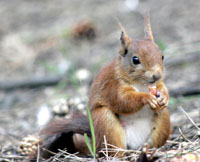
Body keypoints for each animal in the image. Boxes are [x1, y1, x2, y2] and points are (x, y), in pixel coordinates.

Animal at [32, 15, 170, 159]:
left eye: (162, 56)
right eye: (135, 60)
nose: (157, 75)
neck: (141, 84)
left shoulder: (157, 84)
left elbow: (161, 87)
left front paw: (165, 97)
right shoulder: (111, 86)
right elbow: (123, 100)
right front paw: (146, 98)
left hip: (162, 120)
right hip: (106, 122)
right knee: (113, 149)